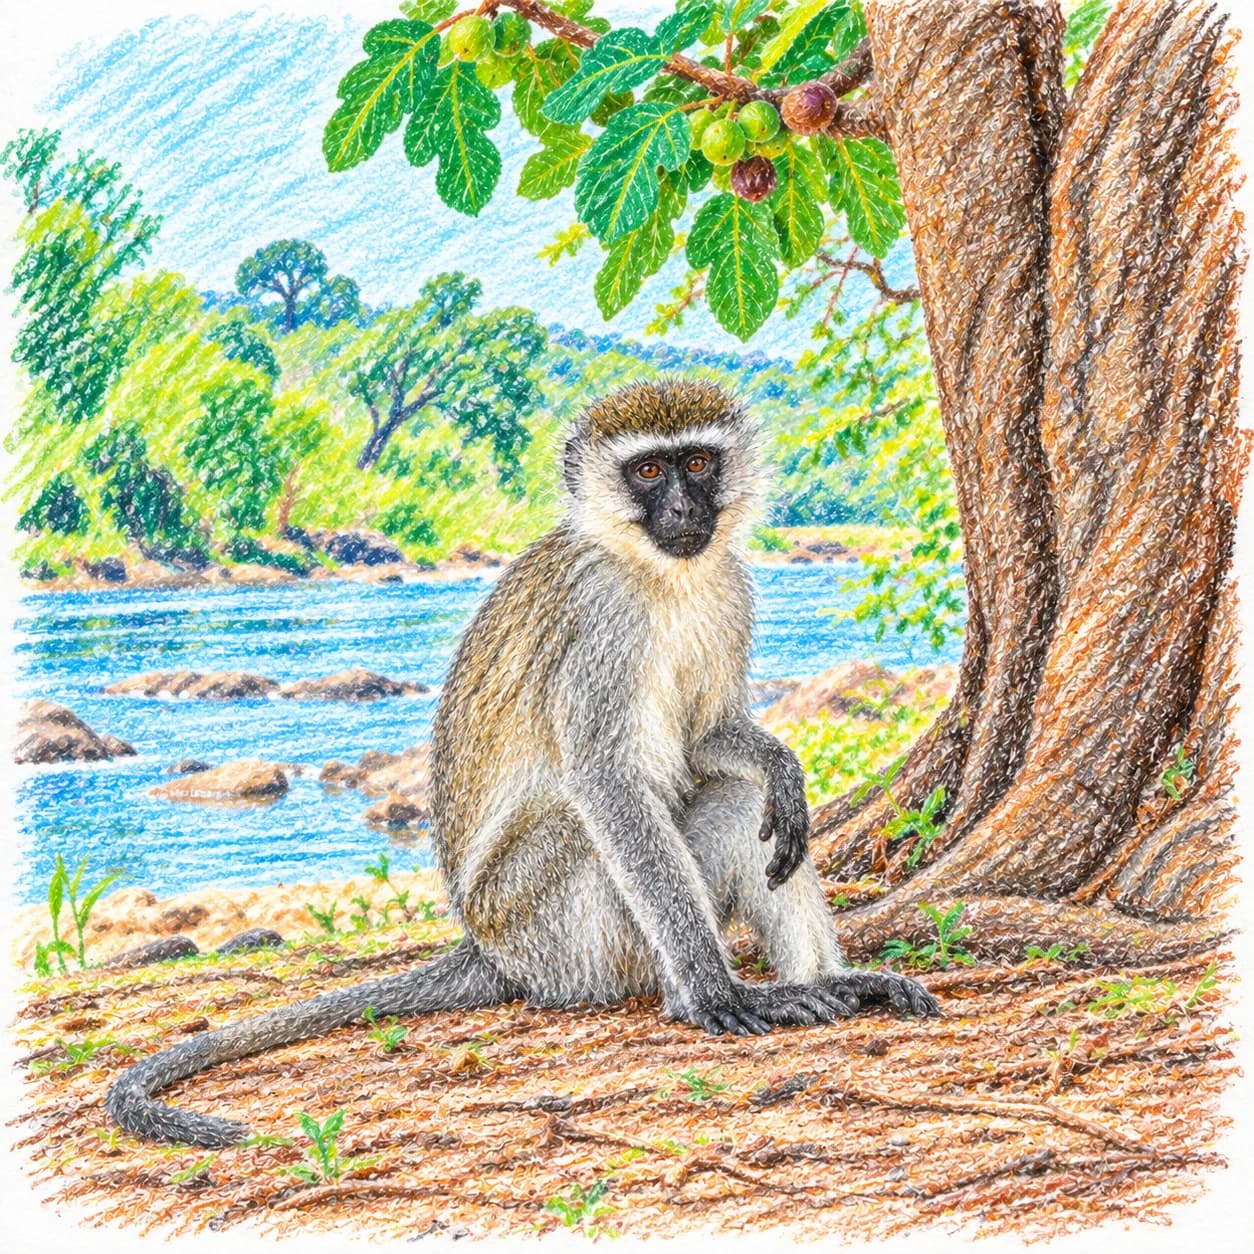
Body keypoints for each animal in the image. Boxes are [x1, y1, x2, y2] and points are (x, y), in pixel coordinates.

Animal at [105, 378, 938, 1149]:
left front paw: (781, 765)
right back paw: (692, 996)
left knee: (742, 804)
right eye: (647, 472)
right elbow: (606, 782)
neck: (654, 573)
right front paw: (714, 993)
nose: (682, 512)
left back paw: (834, 979)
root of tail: (490, 949)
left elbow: (711, 737)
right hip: (556, 935)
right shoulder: (600, 622)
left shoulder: (729, 587)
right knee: (587, 821)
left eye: (698, 463)